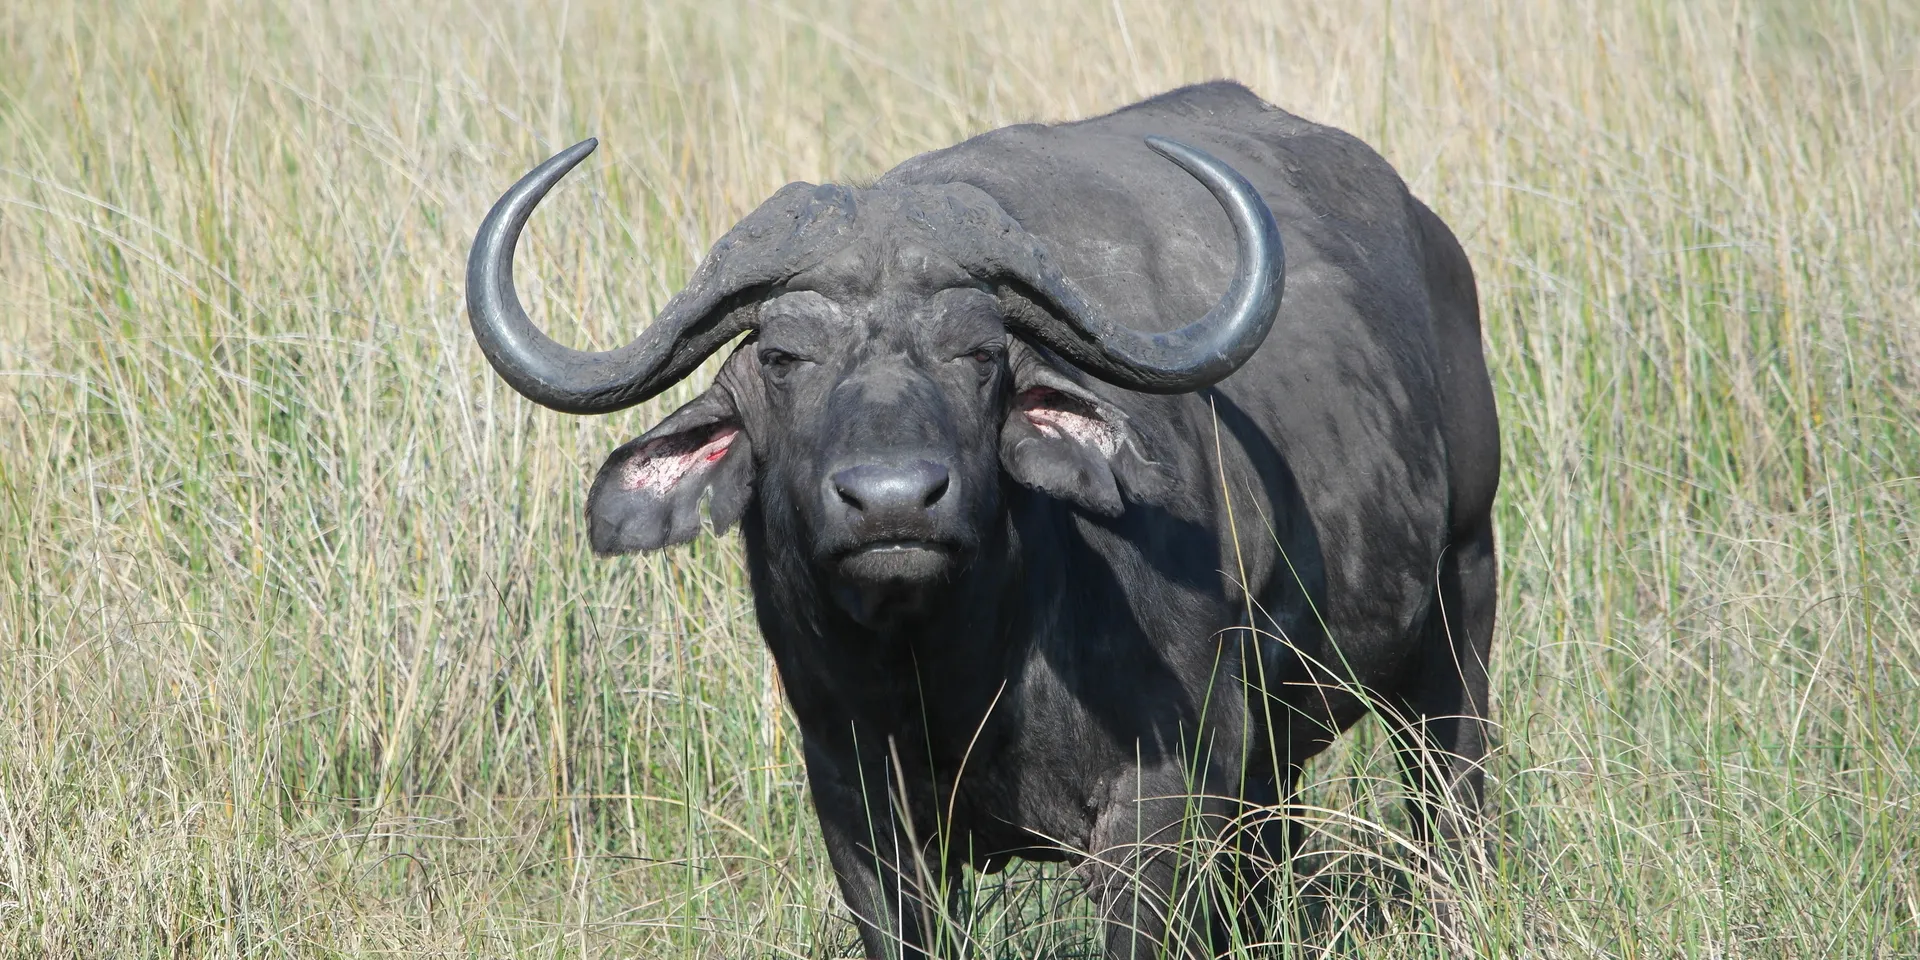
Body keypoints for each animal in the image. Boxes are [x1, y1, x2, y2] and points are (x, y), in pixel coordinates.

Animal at [467, 81, 1499, 959]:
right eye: (782, 358)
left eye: (979, 353)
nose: (893, 501)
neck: (954, 673)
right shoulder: (860, 815)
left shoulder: (1161, 801)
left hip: (1461, 605)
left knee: (1449, 797)